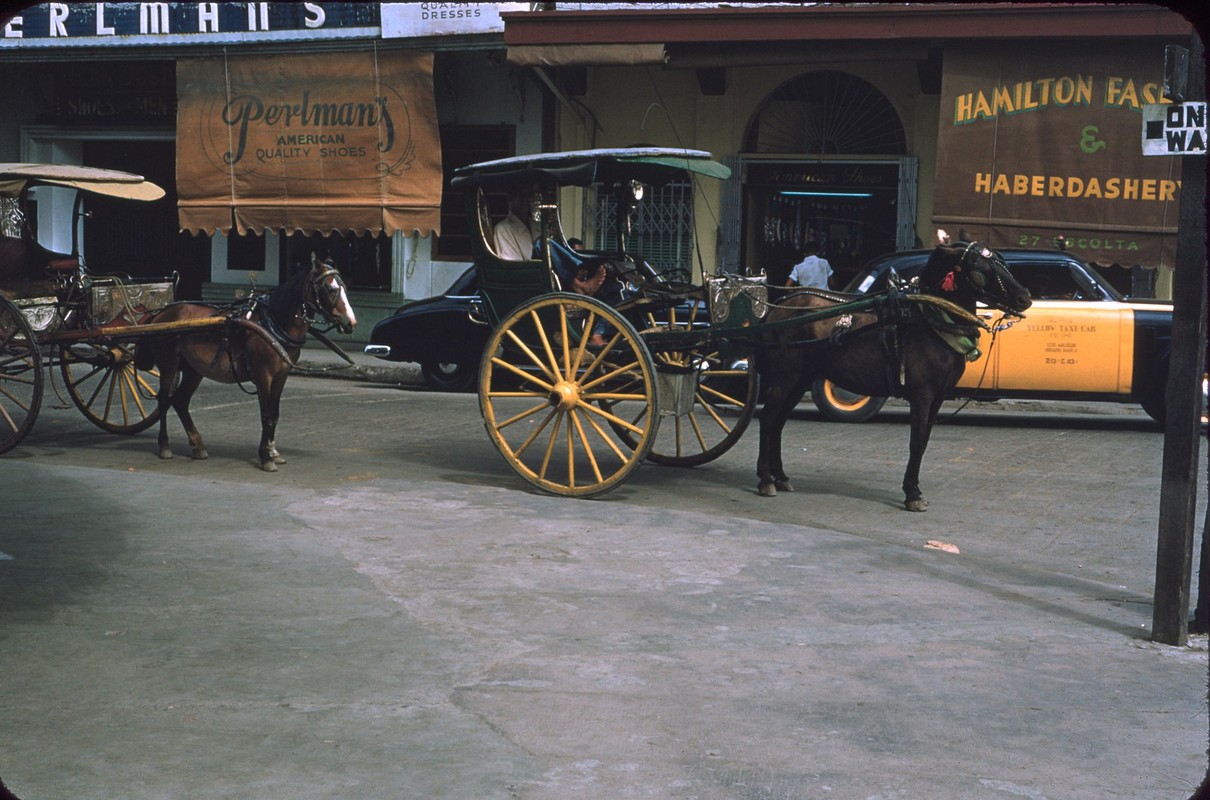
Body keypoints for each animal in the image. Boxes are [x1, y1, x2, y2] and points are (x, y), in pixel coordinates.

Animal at [142, 254, 355, 467]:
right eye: (330, 288)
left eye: (344, 287)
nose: (351, 322)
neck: (273, 324)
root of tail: (160, 313)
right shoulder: (263, 375)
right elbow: (266, 414)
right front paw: (266, 457)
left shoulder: (281, 376)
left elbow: (274, 413)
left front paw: (272, 451)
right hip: (169, 363)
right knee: (163, 400)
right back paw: (165, 446)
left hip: (194, 370)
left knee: (180, 401)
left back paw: (198, 446)